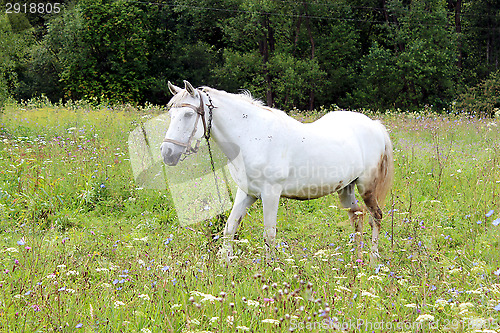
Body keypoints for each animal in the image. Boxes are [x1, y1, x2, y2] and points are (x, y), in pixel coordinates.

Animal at [162, 80, 392, 262]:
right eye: (171, 113)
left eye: (188, 114)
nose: (167, 153)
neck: (252, 136)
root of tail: (375, 126)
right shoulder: (246, 193)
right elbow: (230, 228)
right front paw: (224, 264)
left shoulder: (270, 194)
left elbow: (269, 234)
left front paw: (270, 270)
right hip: (346, 189)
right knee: (357, 217)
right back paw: (357, 260)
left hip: (366, 187)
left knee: (375, 217)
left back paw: (373, 261)